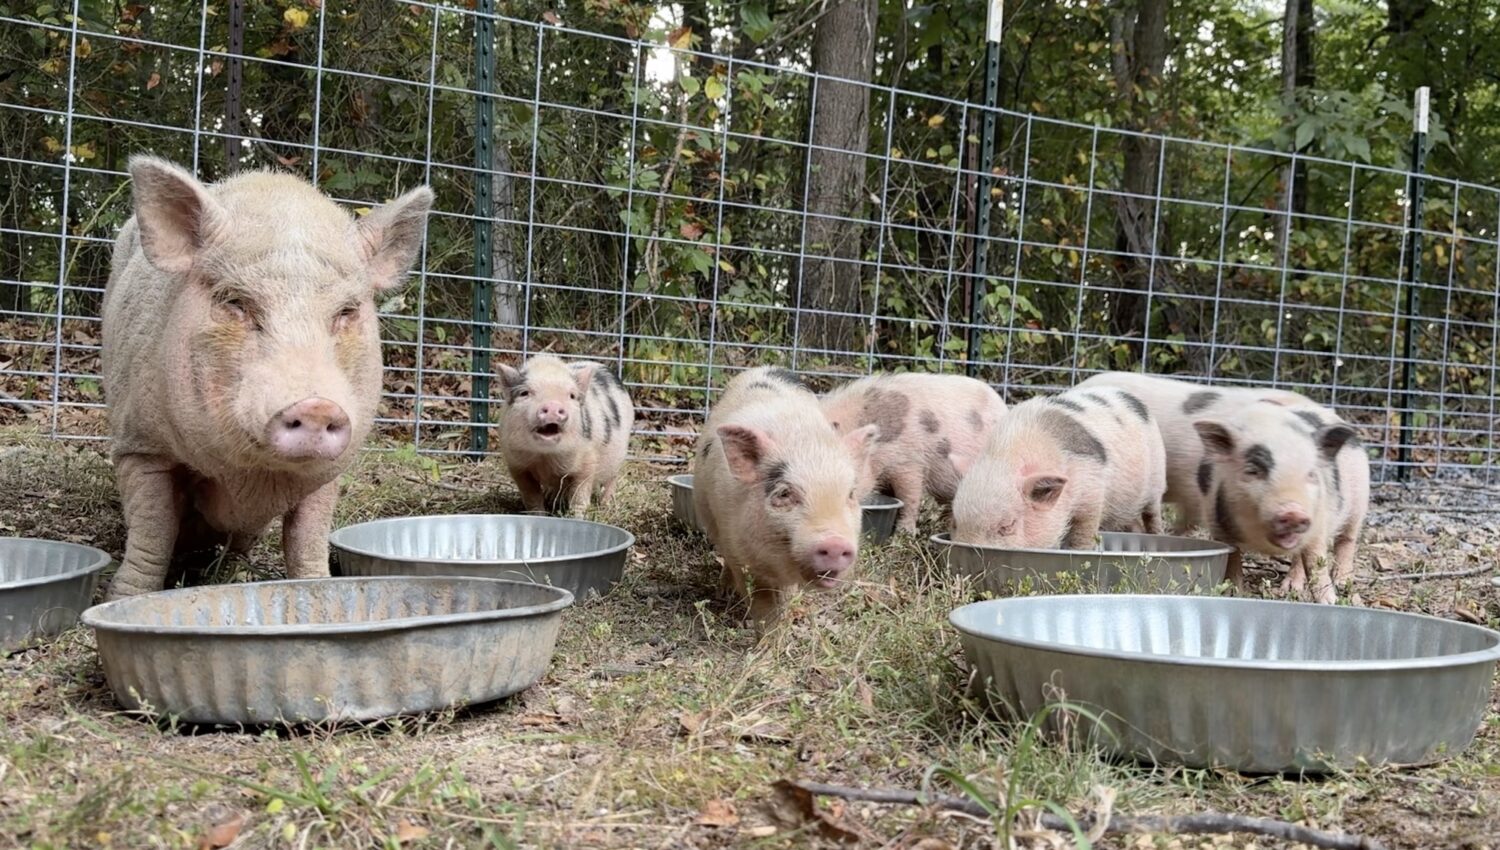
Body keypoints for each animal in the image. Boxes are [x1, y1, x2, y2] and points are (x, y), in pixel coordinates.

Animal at [102, 158, 432, 599]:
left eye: (346, 311)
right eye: (236, 302)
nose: (316, 406)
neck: (252, 479)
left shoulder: (328, 474)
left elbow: (307, 540)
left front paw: (318, 591)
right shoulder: (138, 444)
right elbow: (152, 531)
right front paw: (123, 598)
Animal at [495, 350, 630, 512]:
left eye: (571, 395)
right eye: (524, 393)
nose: (552, 405)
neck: (546, 458)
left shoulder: (587, 461)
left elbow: (580, 495)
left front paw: (577, 514)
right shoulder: (517, 466)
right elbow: (531, 497)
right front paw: (539, 513)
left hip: (619, 457)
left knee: (612, 479)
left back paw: (606, 505)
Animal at [690, 365, 876, 626]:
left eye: (850, 494)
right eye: (785, 493)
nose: (835, 543)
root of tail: (767, 368)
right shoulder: (737, 549)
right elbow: (761, 602)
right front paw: (760, 630)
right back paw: (724, 593)